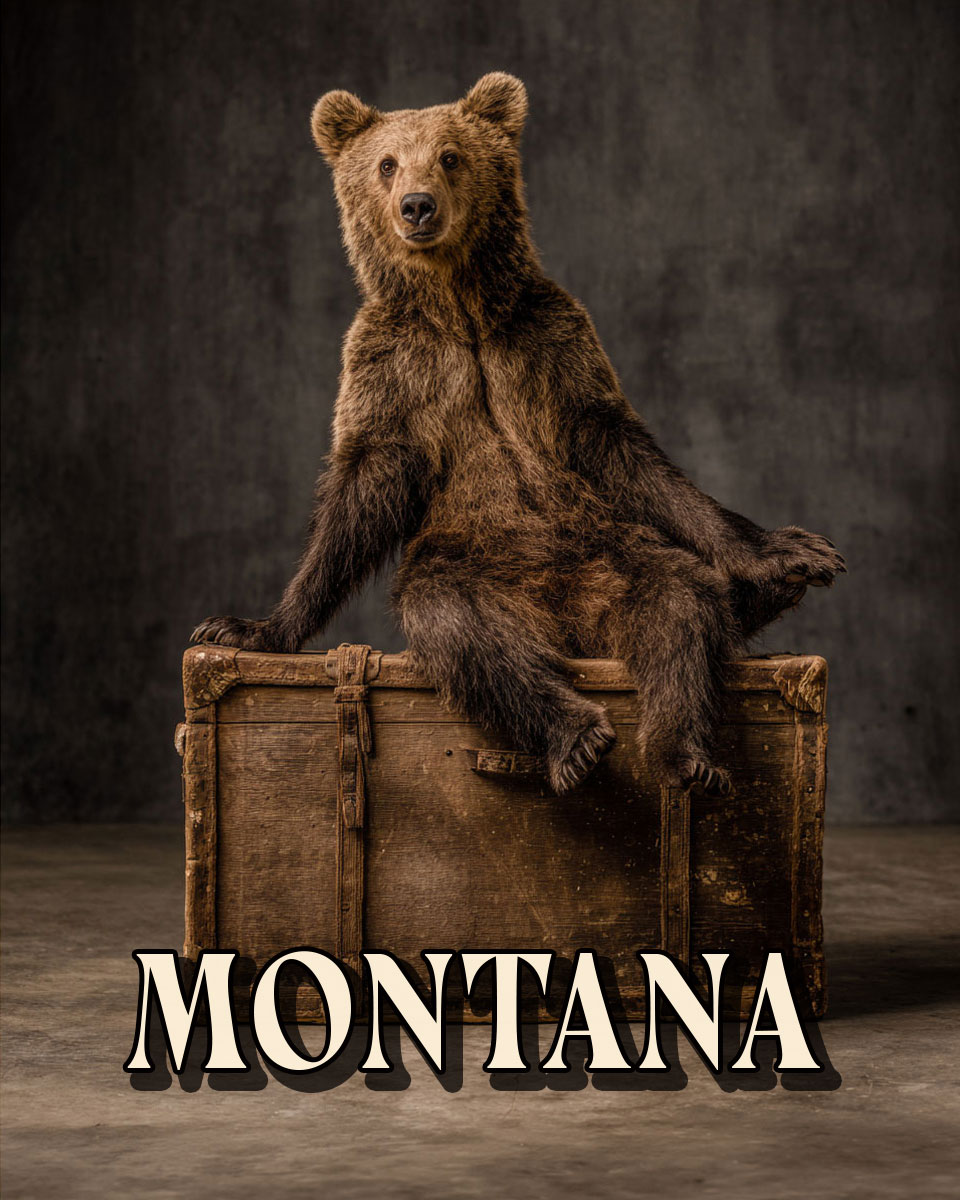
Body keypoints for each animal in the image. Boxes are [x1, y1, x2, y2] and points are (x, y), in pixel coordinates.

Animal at [192, 73, 844, 797]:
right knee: (461, 628)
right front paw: (254, 627)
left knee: (679, 604)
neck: (460, 311)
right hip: (470, 562)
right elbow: (362, 487)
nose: (416, 205)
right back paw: (578, 736)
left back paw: (687, 750)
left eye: (450, 156)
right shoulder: (391, 368)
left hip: (612, 552)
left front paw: (786, 551)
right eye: (387, 163)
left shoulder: (551, 344)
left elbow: (622, 448)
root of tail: (565, 623)